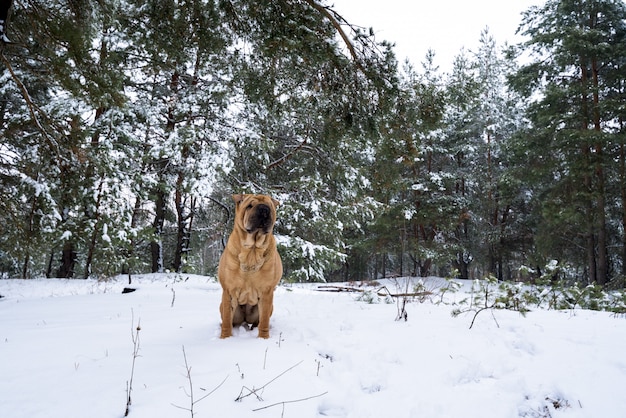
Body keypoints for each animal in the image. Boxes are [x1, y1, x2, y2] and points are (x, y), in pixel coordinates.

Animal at [217, 194, 280, 338]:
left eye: (270, 206)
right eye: (250, 205)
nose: (264, 209)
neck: (252, 251)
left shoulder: (267, 292)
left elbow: (264, 321)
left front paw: (263, 338)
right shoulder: (228, 291)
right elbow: (227, 319)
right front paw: (225, 338)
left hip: (269, 307)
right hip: (223, 306)